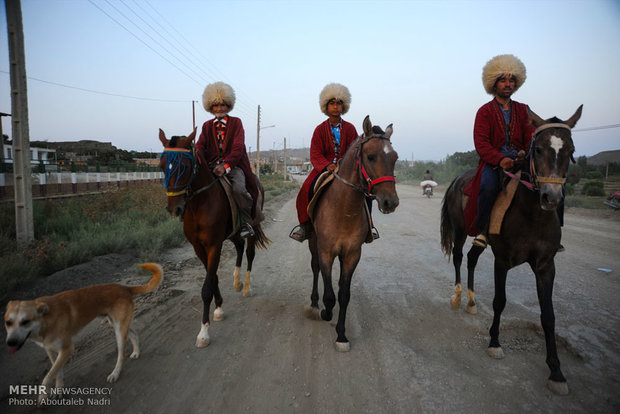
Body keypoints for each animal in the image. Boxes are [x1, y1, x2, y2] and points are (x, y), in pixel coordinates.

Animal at [4, 264, 162, 402]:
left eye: (25, 321)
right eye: (8, 322)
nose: (10, 342)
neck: (46, 319)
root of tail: (125, 287)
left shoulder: (67, 349)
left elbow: (47, 376)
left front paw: (42, 397)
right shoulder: (51, 350)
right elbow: (57, 372)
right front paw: (59, 390)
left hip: (119, 328)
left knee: (121, 355)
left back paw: (115, 373)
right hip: (117, 324)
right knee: (134, 334)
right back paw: (136, 352)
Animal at [159, 128, 268, 348]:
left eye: (184, 166)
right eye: (162, 165)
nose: (174, 209)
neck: (199, 205)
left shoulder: (213, 245)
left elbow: (207, 286)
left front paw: (204, 332)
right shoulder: (198, 247)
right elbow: (213, 277)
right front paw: (218, 309)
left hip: (252, 225)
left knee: (249, 253)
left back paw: (246, 287)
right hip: (233, 232)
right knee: (239, 246)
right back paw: (237, 281)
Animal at [304, 115, 398, 350]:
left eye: (395, 158)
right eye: (371, 156)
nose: (390, 202)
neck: (343, 208)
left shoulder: (352, 254)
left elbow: (344, 294)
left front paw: (341, 335)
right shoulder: (326, 251)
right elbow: (330, 295)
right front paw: (326, 313)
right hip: (313, 242)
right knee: (315, 268)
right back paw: (314, 304)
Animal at [440, 104, 580, 394]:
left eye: (571, 150)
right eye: (538, 149)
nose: (551, 198)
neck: (531, 214)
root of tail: (459, 178)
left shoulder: (546, 266)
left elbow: (549, 316)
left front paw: (556, 372)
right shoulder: (502, 260)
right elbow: (500, 301)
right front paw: (494, 343)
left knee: (471, 258)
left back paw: (471, 301)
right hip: (460, 230)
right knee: (459, 256)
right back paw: (458, 296)